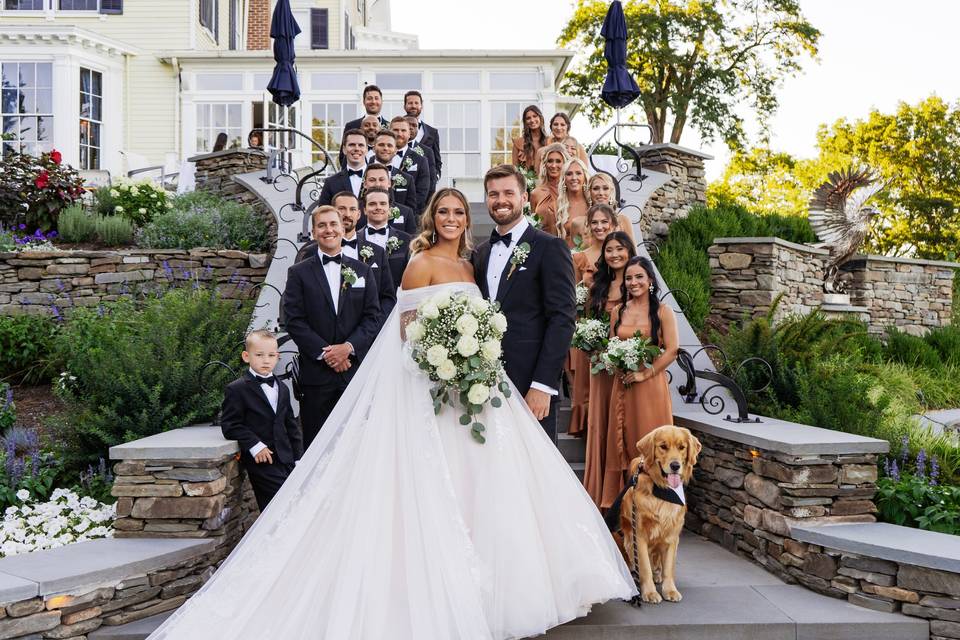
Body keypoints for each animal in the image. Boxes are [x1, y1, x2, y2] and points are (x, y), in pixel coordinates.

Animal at [620, 424, 700, 604]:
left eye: (682, 447)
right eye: (663, 446)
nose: (675, 465)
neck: (662, 491)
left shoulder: (672, 536)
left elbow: (668, 568)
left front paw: (670, 590)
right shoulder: (639, 536)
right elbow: (644, 568)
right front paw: (649, 593)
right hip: (628, 539)